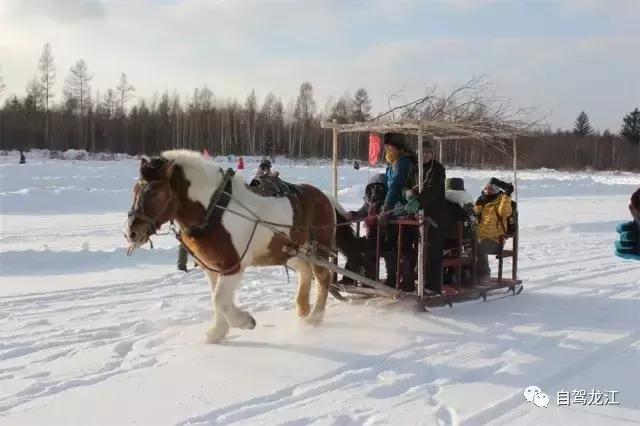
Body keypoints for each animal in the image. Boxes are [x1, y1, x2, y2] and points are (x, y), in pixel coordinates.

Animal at [124, 151, 364, 344]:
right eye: (135, 189)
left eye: (154, 192)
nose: (130, 232)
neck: (213, 211)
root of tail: (325, 196)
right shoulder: (212, 267)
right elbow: (216, 298)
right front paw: (218, 332)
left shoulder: (233, 265)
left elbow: (220, 299)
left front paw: (244, 321)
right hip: (295, 252)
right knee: (306, 273)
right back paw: (302, 310)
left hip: (319, 250)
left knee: (323, 278)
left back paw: (315, 317)